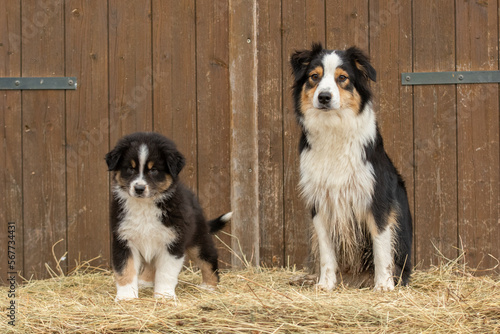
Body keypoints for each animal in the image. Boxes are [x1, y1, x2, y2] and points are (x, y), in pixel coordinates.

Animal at [106, 131, 231, 300]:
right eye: (130, 169)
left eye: (154, 170)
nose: (139, 188)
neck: (145, 205)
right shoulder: (124, 240)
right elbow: (125, 270)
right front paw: (126, 297)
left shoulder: (173, 242)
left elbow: (165, 272)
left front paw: (164, 296)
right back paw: (144, 282)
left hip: (197, 239)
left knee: (208, 258)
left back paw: (209, 286)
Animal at [292, 43, 412, 290]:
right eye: (314, 76)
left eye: (342, 78)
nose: (324, 97)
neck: (333, 128)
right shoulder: (320, 201)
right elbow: (327, 251)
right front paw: (326, 284)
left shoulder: (377, 198)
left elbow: (381, 245)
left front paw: (383, 285)